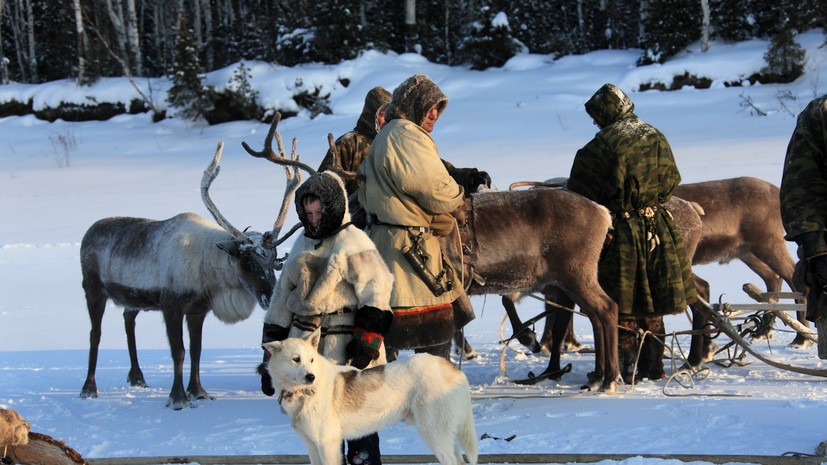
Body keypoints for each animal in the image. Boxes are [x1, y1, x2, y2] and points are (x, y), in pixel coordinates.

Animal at [266, 328, 478, 464]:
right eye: (296, 360)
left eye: (311, 359)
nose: (311, 377)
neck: (304, 392)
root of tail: (450, 368)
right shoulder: (312, 445)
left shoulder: (328, 444)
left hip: (435, 434)